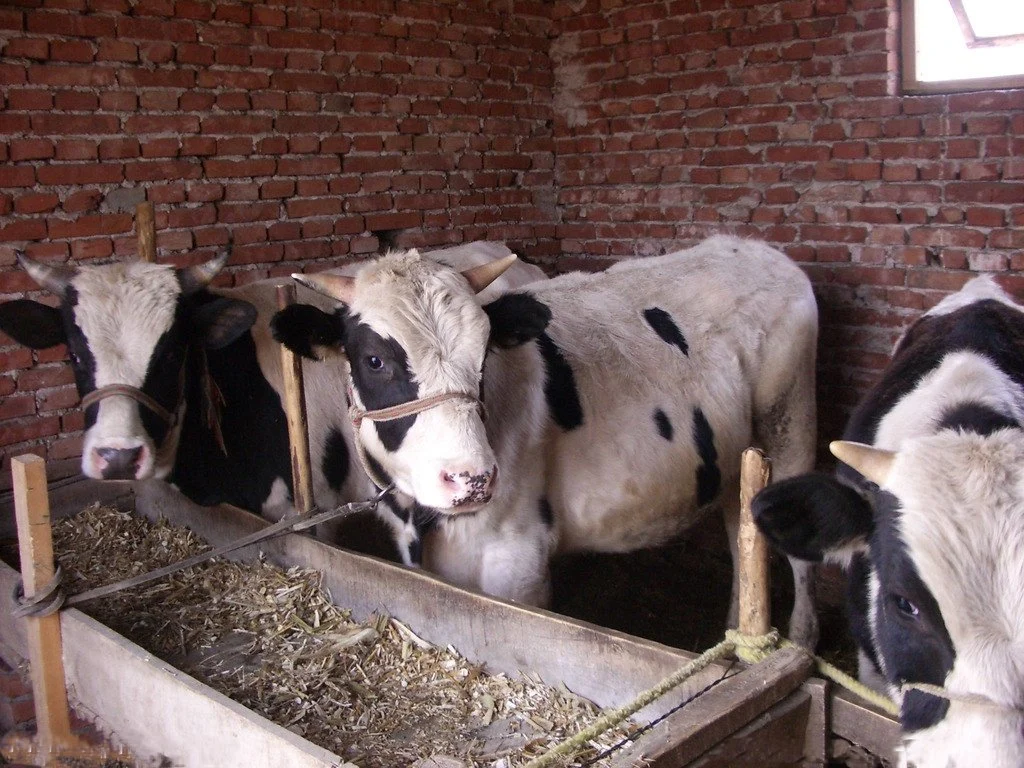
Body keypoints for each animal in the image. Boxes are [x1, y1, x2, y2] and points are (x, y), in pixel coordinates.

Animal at [268, 237, 819, 647]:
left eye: (483, 353)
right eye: (374, 360)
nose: (470, 479)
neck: (420, 519)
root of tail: (753, 248)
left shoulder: (517, 564)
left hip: (789, 429)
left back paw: (799, 641)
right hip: (736, 459)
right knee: (740, 529)